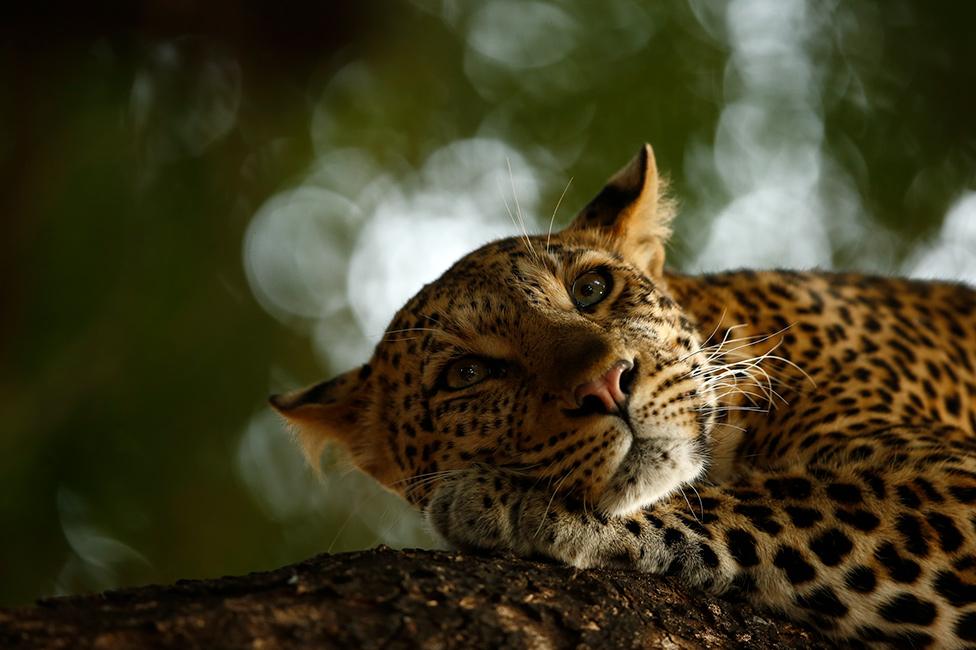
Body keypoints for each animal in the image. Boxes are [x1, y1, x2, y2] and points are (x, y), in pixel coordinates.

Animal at [270, 144, 976, 644]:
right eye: (467, 375)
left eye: (591, 290)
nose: (606, 384)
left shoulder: (953, 484)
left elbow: (779, 500)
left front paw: (512, 502)